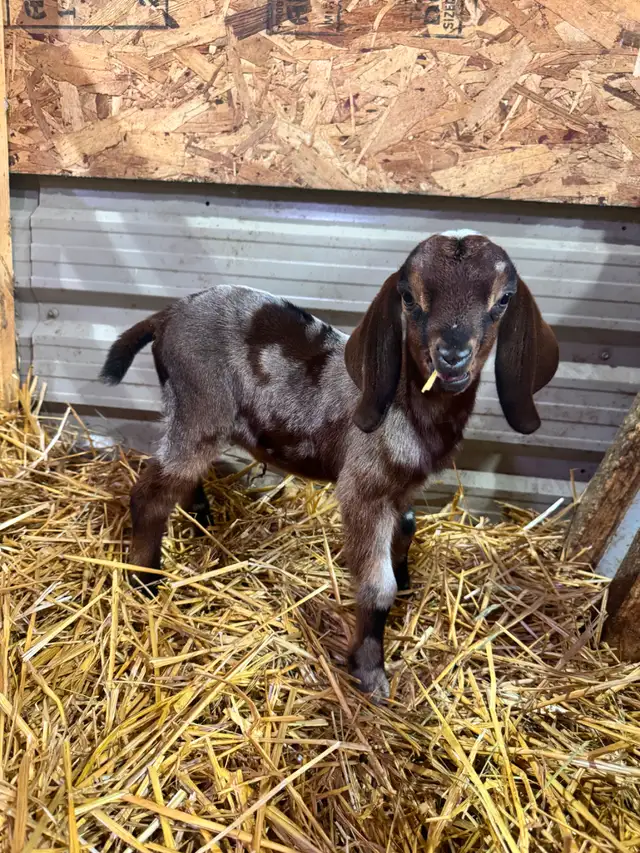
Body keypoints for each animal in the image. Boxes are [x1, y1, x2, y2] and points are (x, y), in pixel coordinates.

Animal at [100, 232, 559, 700]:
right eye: (409, 297)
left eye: (504, 299)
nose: (452, 356)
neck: (406, 401)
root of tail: (165, 316)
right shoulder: (362, 488)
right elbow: (377, 587)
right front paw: (371, 673)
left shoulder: (401, 488)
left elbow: (408, 527)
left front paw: (405, 581)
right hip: (198, 404)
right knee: (151, 492)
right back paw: (145, 579)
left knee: (181, 475)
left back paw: (201, 518)